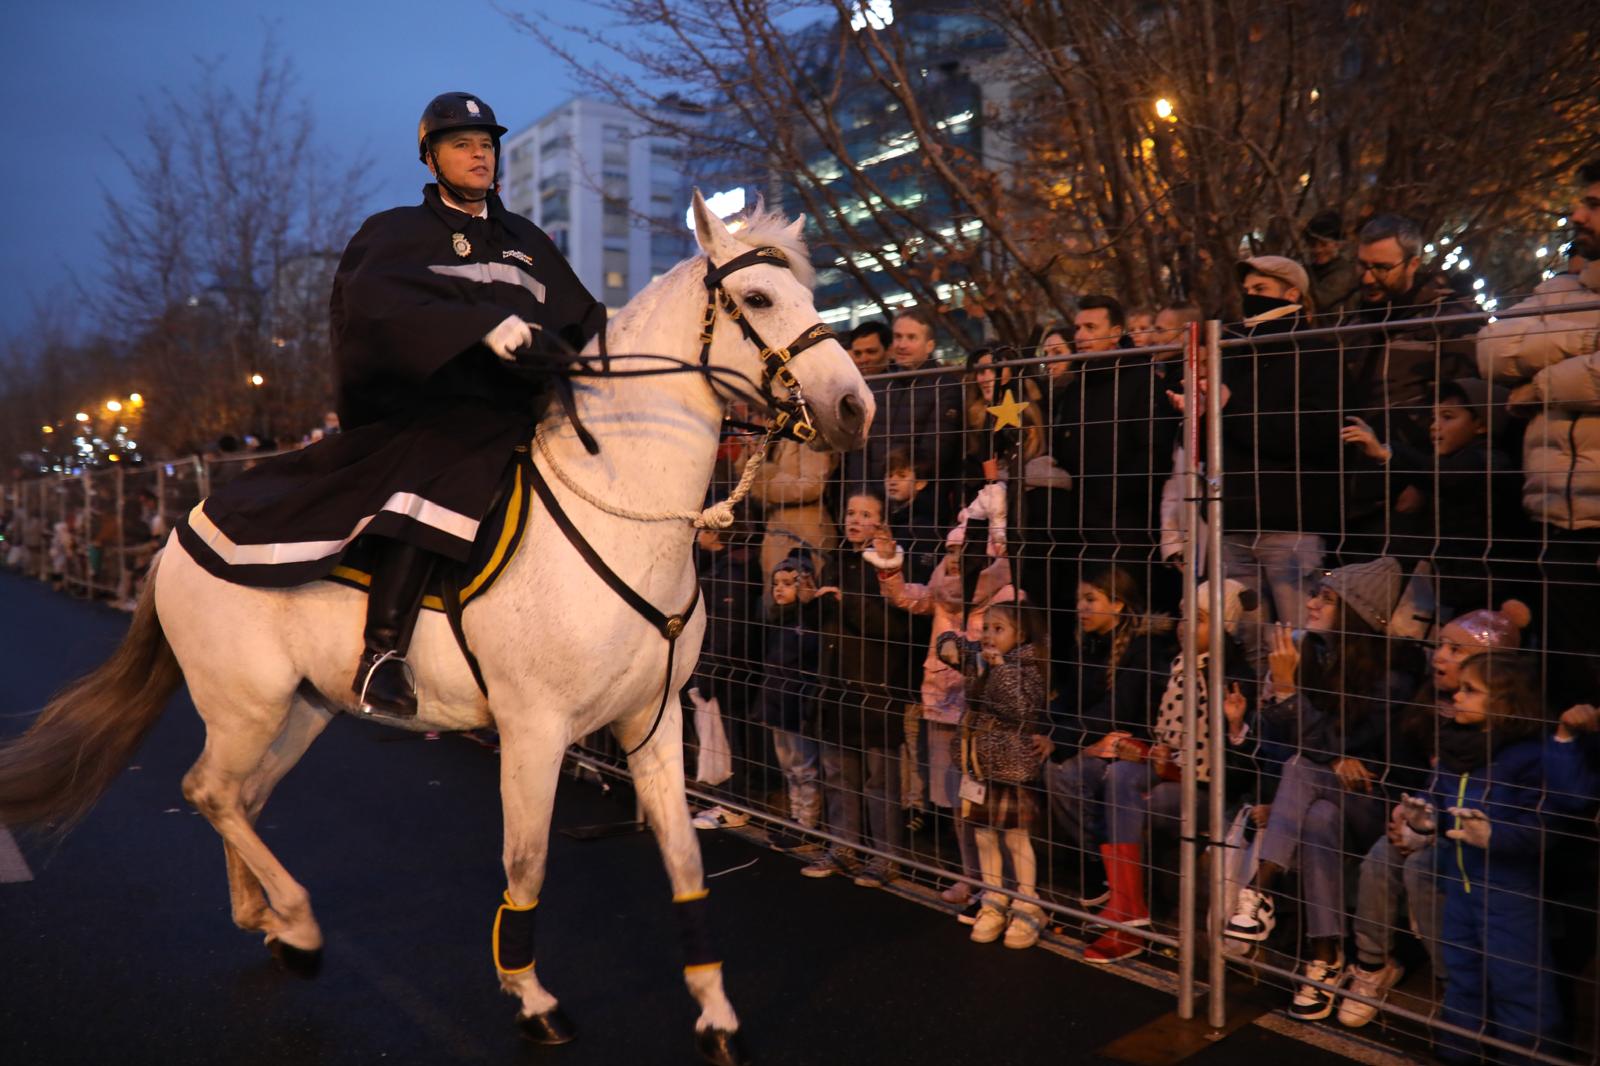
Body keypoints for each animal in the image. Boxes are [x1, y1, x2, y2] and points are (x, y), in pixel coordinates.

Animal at [0, 192, 876, 1062]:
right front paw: (531, 998)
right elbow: (526, 863)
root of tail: (181, 534)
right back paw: (301, 925)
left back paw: (270, 921)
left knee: (239, 800)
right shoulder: (534, 731)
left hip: (303, 710)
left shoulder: (650, 725)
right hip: (244, 706)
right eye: (758, 298)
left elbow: (684, 861)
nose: (854, 407)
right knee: (207, 790)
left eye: (809, 292)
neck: (623, 507)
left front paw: (715, 1013)